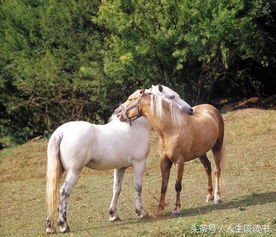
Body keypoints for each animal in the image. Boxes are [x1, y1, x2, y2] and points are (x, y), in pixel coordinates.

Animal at [45, 85, 193, 233]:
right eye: (172, 96)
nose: (190, 110)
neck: (136, 127)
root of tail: (61, 132)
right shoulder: (139, 164)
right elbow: (138, 187)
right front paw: (141, 212)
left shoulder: (120, 167)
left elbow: (116, 189)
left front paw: (113, 214)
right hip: (74, 171)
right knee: (64, 192)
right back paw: (63, 224)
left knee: (52, 193)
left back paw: (50, 226)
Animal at [115, 85, 225, 217]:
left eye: (131, 99)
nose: (117, 112)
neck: (171, 129)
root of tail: (211, 108)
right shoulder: (164, 162)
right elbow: (163, 186)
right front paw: (159, 211)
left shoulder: (179, 162)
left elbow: (177, 185)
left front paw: (176, 209)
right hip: (201, 152)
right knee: (207, 167)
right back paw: (209, 196)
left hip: (217, 147)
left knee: (217, 170)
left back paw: (217, 197)